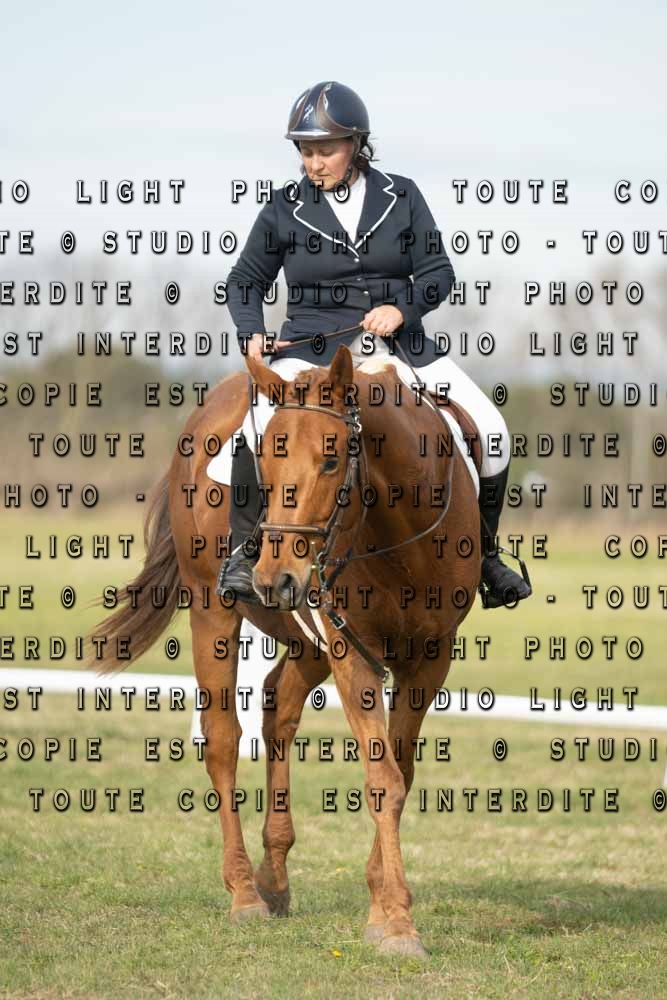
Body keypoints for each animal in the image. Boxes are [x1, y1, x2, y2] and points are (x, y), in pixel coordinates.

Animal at [88, 344, 480, 958]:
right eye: (264, 470)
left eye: (330, 461)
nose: (275, 578)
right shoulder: (351, 650)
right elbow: (383, 780)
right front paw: (397, 922)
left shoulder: (431, 657)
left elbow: (401, 773)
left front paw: (379, 907)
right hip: (213, 612)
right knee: (224, 739)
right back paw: (246, 892)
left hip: (305, 639)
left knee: (278, 706)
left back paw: (273, 877)